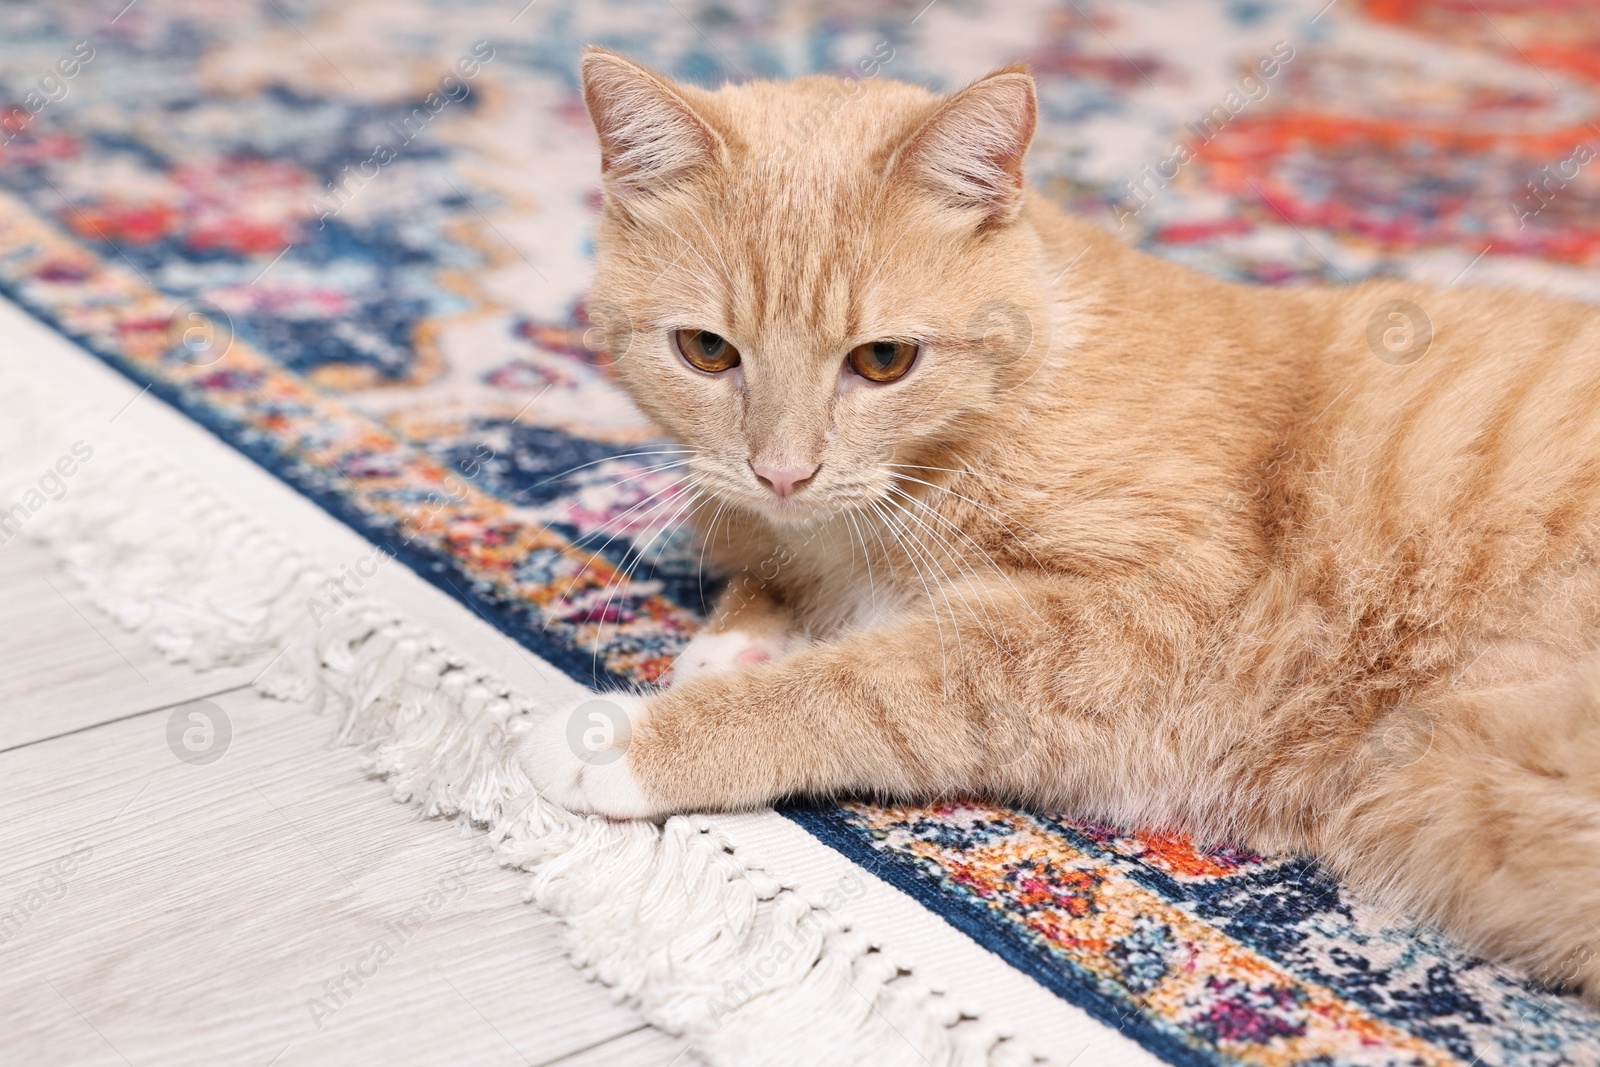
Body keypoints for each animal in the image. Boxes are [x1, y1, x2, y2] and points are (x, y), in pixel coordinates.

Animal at [521, 47, 1600, 1004]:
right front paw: (738, 633)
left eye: (882, 361)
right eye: (706, 351)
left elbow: (865, 686)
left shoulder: (1138, 625)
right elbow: (773, 590)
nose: (782, 470)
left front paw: (632, 732)